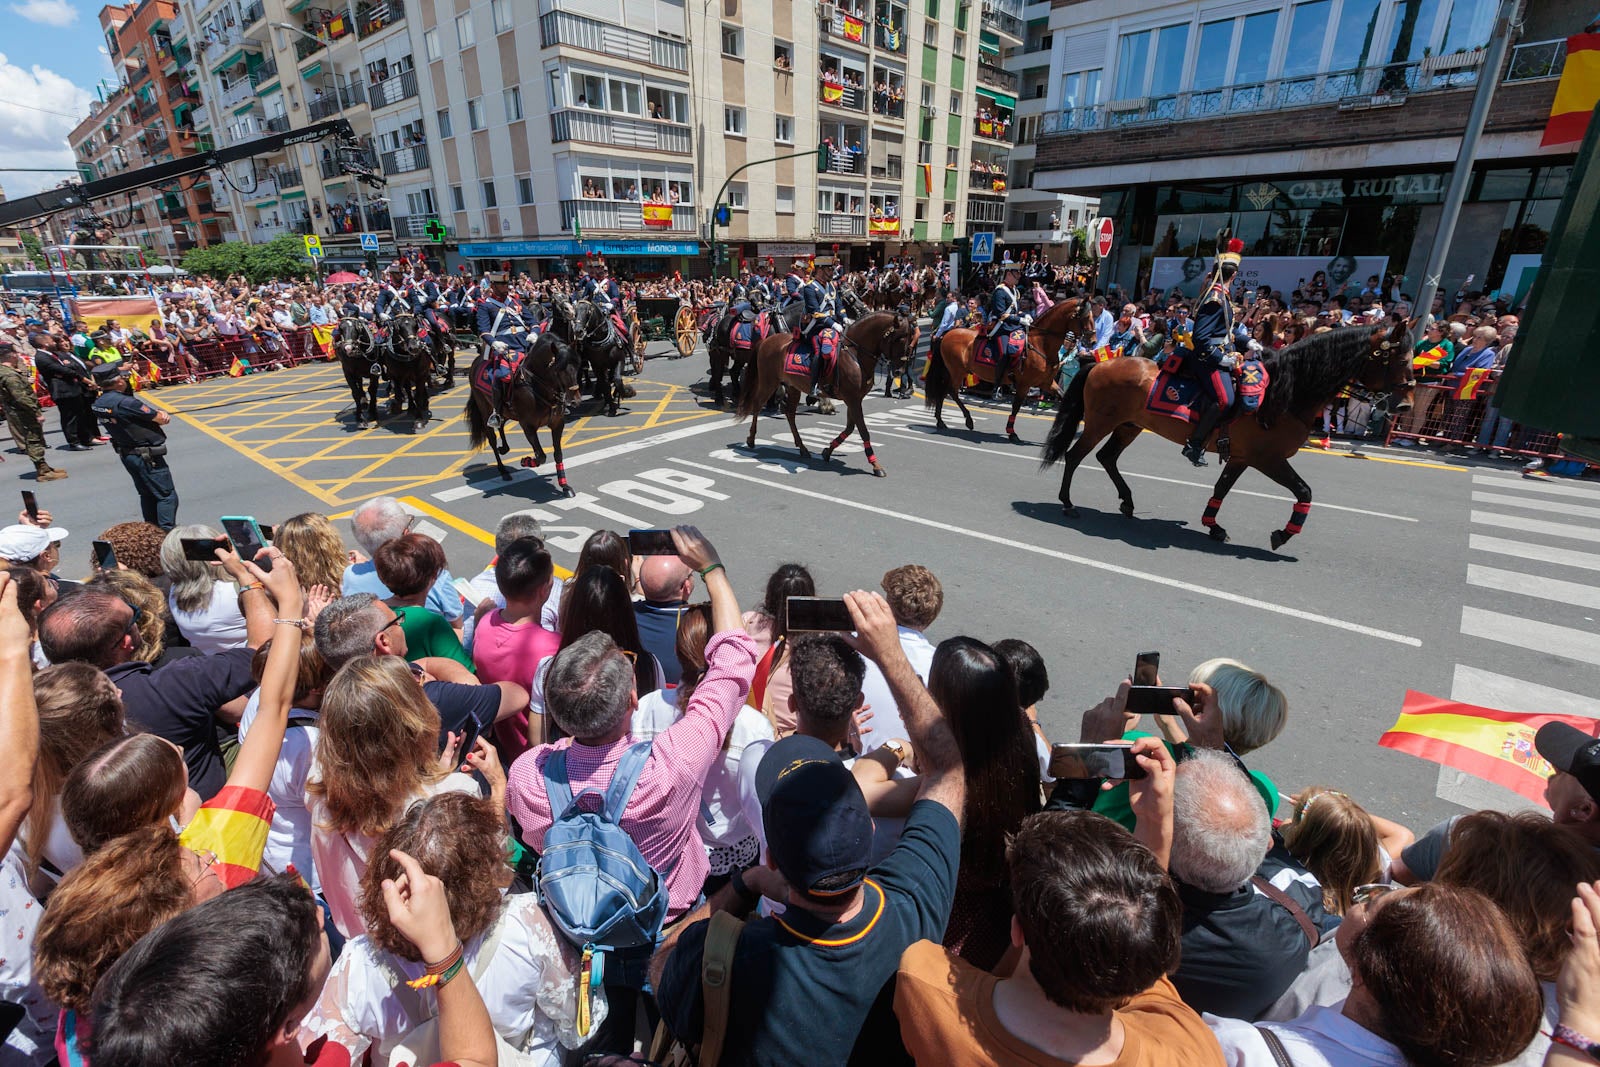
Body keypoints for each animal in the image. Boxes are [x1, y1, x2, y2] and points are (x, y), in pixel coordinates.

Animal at [464, 331, 582, 495]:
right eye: (558, 370)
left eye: (577, 365)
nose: (576, 400)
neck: (537, 386)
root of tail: (477, 360)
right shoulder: (528, 426)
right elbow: (541, 456)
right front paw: (526, 461)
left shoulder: (557, 424)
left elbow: (558, 454)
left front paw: (564, 485)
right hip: (485, 410)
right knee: (492, 439)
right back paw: (503, 470)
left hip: (505, 412)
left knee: (501, 425)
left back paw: (504, 448)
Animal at [732, 307, 915, 476]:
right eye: (900, 338)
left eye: (909, 337)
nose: (899, 371)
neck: (855, 353)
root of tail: (767, 340)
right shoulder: (853, 399)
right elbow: (863, 431)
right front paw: (875, 464)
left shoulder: (855, 399)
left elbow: (850, 428)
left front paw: (828, 451)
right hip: (768, 382)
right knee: (757, 405)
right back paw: (751, 439)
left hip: (792, 387)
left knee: (790, 413)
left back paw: (802, 448)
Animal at [928, 295, 1100, 441]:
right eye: (1085, 317)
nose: (1092, 341)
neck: (1041, 344)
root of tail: (947, 334)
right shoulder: (1024, 384)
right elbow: (1016, 407)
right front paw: (1011, 432)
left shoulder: (1046, 383)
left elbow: (1064, 397)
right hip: (957, 371)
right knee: (951, 391)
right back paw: (967, 420)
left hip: (952, 371)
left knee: (943, 391)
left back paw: (940, 421)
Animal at [1036, 319, 1414, 550]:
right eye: (1399, 358)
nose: (1406, 404)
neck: (1284, 392)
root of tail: (1100, 361)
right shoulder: (1268, 459)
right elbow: (1304, 490)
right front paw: (1283, 534)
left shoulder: (1242, 457)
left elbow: (1222, 488)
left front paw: (1212, 524)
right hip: (1100, 422)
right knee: (1076, 455)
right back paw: (1068, 503)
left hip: (1130, 425)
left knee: (1106, 457)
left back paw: (1127, 501)